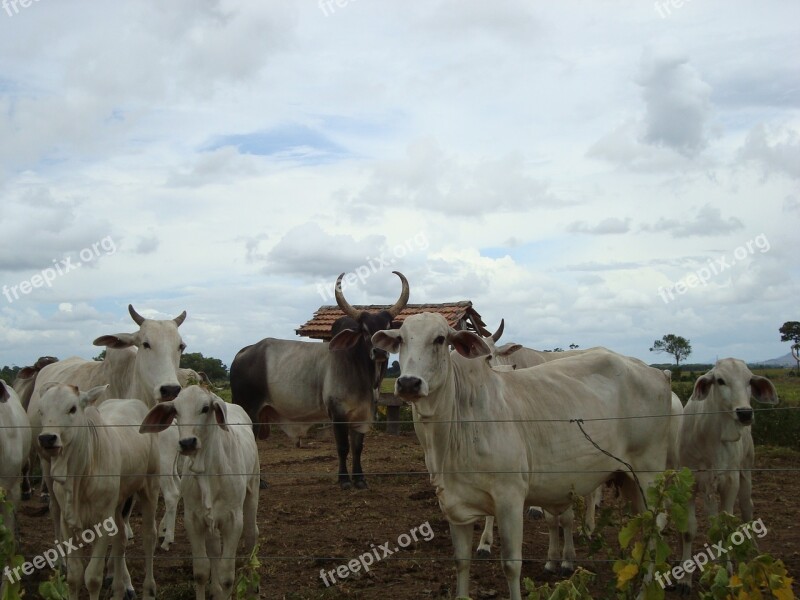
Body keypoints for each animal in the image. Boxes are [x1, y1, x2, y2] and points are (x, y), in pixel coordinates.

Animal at [36, 384, 159, 600]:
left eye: (72, 409)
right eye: (41, 410)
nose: (47, 438)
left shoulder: (102, 521)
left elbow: (92, 577)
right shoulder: (67, 522)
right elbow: (74, 576)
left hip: (150, 487)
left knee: (149, 537)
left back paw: (148, 589)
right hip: (118, 503)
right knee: (120, 539)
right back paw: (119, 590)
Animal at [141, 386, 260, 596]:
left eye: (205, 408)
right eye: (176, 411)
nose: (187, 442)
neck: (208, 473)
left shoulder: (233, 521)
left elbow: (227, 578)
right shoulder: (193, 520)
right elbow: (201, 572)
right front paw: (213, 587)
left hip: (253, 491)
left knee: (252, 535)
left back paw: (253, 589)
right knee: (214, 549)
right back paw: (215, 589)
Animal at [372, 314, 672, 600]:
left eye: (440, 339)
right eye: (401, 339)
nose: (409, 383)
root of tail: (658, 374)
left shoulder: (510, 499)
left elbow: (511, 565)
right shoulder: (455, 505)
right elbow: (461, 562)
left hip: (649, 475)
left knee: (655, 527)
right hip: (628, 479)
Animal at [676, 356, 776, 592]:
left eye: (749, 380)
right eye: (720, 380)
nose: (745, 413)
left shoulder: (730, 482)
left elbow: (725, 528)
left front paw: (726, 570)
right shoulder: (690, 483)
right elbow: (689, 530)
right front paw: (685, 577)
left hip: (746, 470)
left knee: (747, 508)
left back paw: (753, 551)